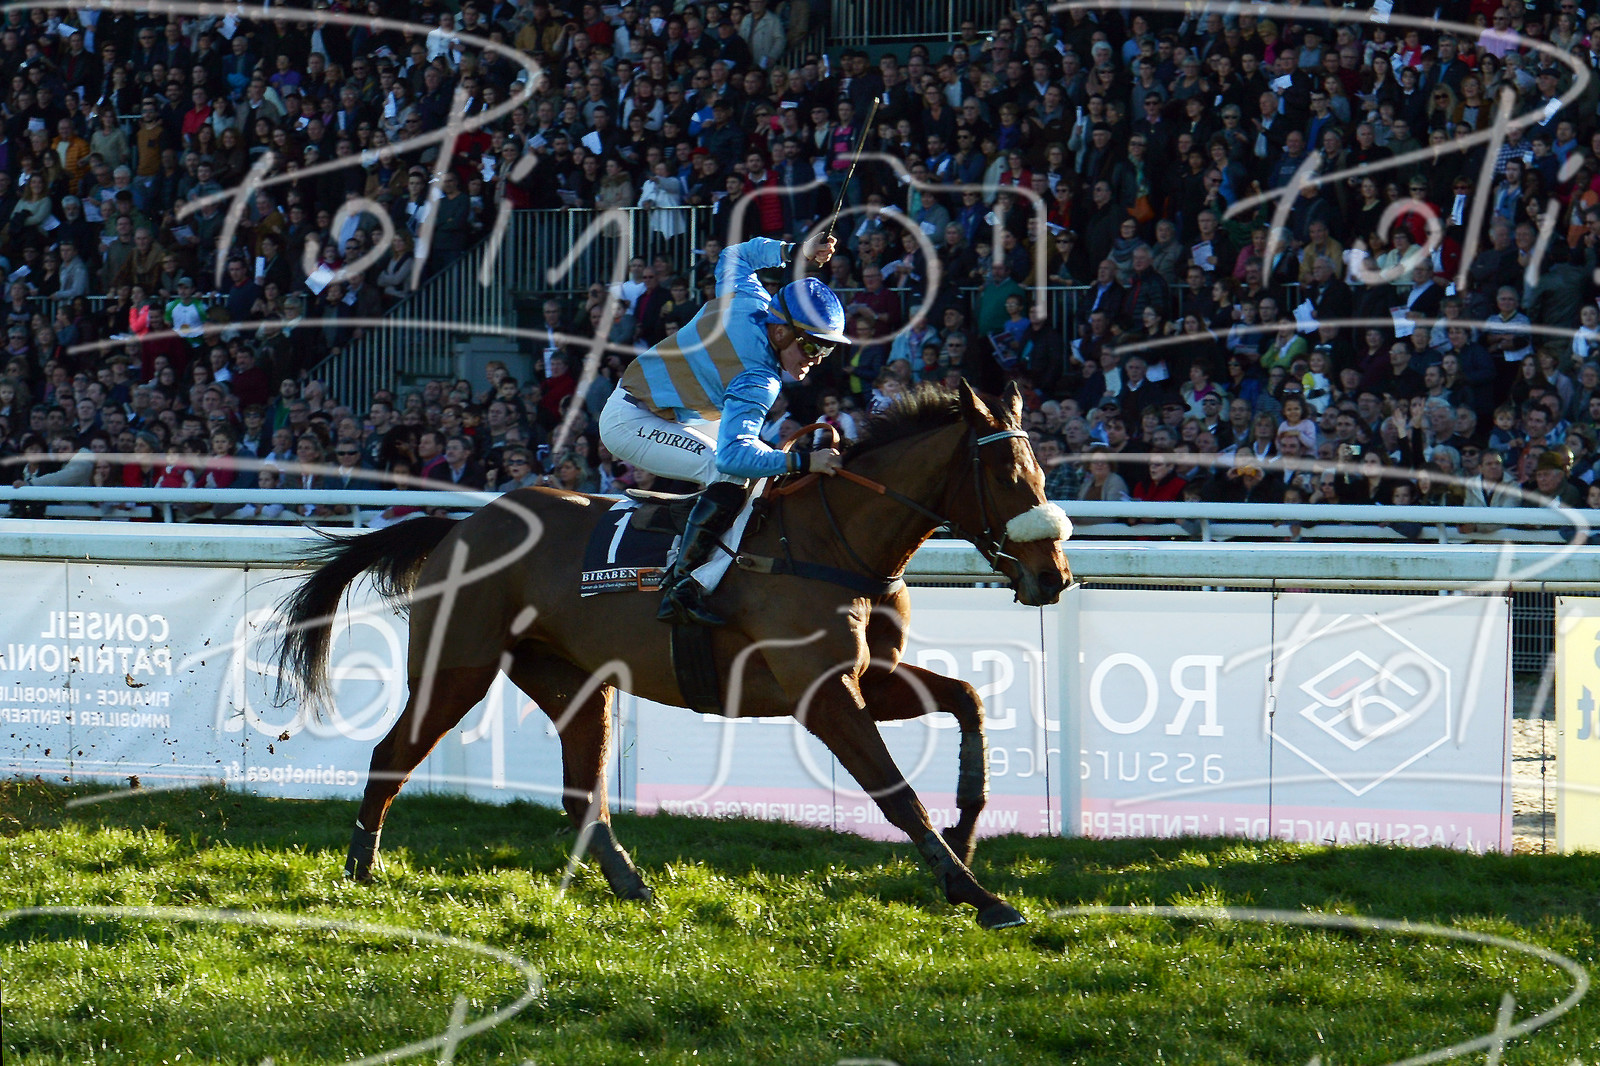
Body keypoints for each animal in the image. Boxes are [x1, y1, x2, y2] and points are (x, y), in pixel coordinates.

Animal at [275, 381, 1072, 929]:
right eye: (1009, 477)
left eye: (1040, 470)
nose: (1054, 576)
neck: (833, 540)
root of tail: (458, 525)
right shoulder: (821, 690)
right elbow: (897, 792)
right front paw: (978, 894)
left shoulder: (865, 677)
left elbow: (967, 700)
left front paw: (966, 834)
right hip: (455, 668)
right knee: (392, 754)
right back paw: (360, 868)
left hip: (573, 682)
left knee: (580, 794)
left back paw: (634, 886)